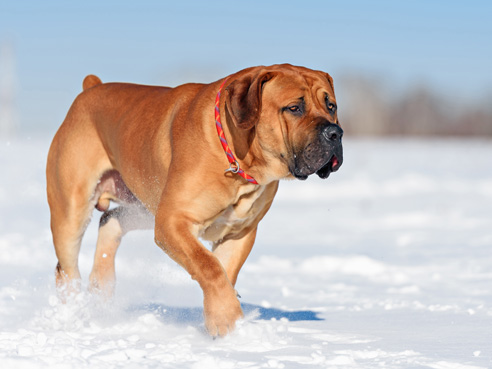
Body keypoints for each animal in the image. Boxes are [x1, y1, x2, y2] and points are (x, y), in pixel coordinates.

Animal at [48, 64, 344, 336]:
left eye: (331, 105)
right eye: (294, 108)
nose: (335, 133)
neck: (237, 159)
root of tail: (91, 88)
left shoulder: (239, 232)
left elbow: (224, 270)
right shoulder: (172, 221)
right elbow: (209, 266)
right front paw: (227, 319)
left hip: (144, 207)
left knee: (110, 219)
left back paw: (102, 286)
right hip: (72, 210)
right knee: (66, 268)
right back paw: (73, 312)